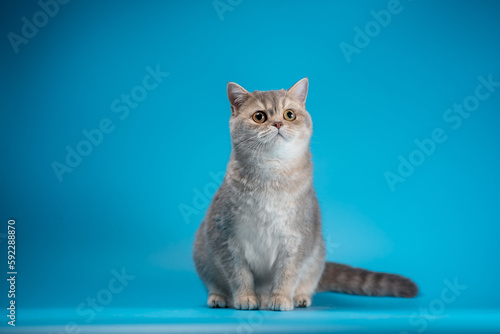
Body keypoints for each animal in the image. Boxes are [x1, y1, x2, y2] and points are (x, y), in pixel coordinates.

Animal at [192, 78, 418, 310]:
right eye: (259, 116)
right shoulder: (227, 238)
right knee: (214, 284)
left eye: (289, 114)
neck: (272, 175)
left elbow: (287, 274)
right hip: (202, 254)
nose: (278, 124)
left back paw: (299, 297)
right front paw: (245, 298)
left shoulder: (297, 239)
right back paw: (220, 298)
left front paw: (280, 299)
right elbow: (239, 274)